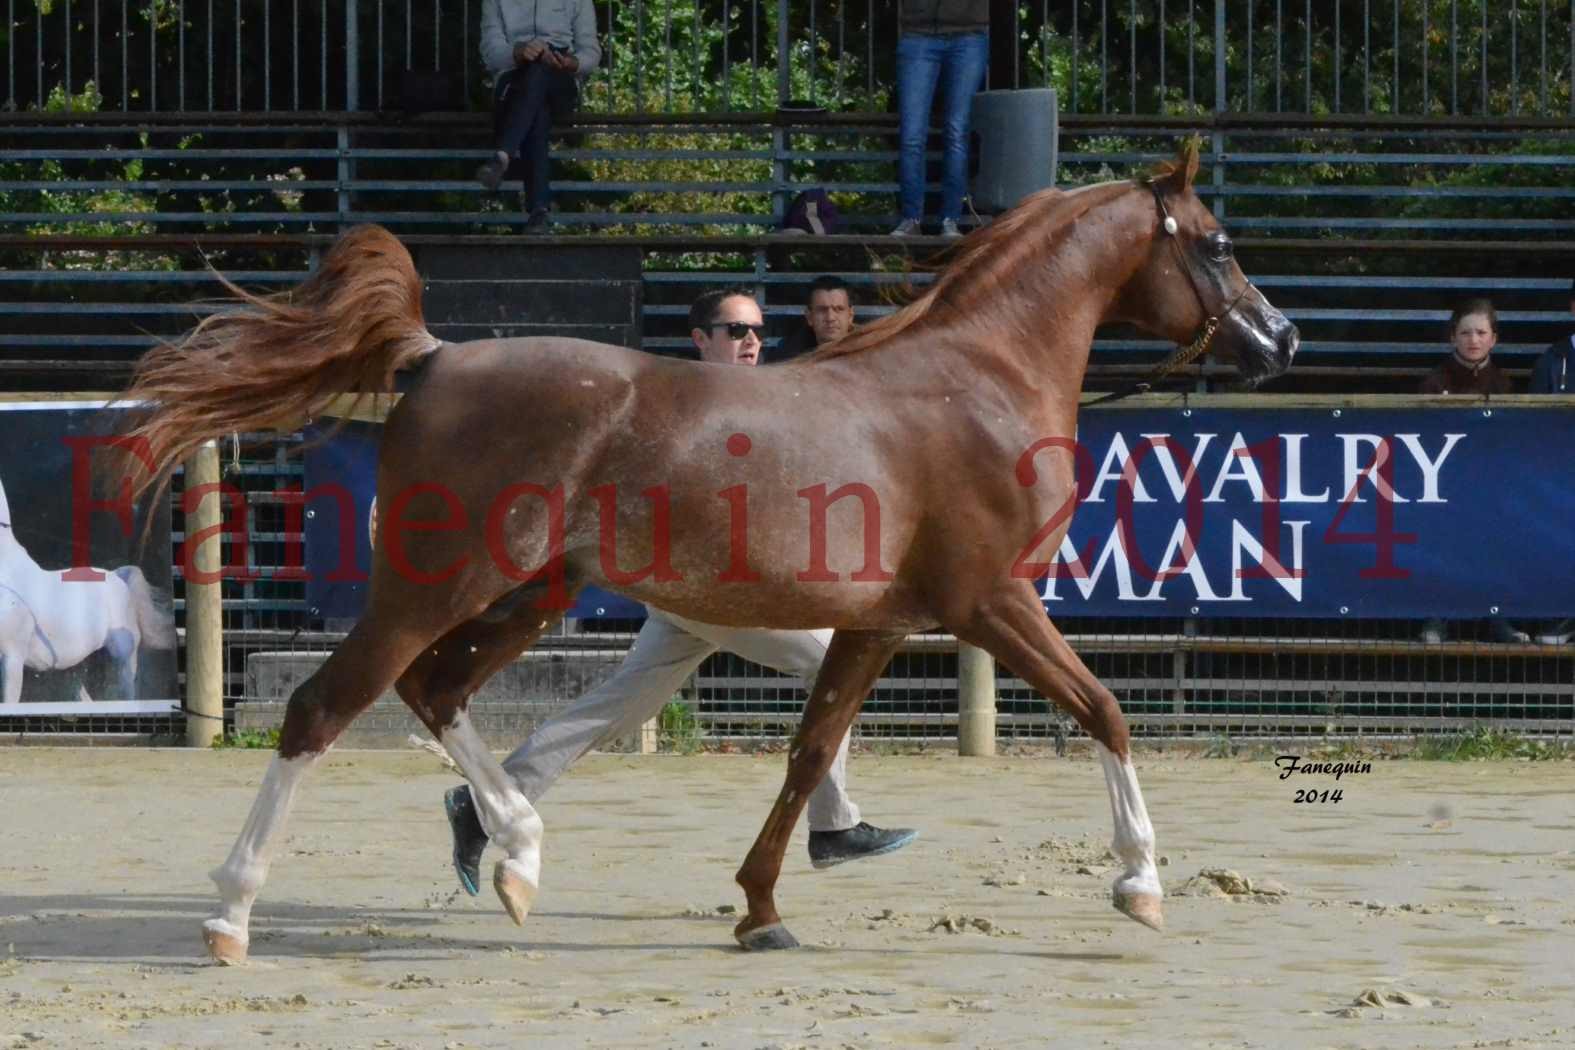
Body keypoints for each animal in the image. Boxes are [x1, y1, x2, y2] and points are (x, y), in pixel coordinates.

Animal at [119, 144, 1291, 963]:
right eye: (1217, 242)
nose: (1279, 340)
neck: (977, 381)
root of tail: (435, 359)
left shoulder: (876, 623)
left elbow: (811, 751)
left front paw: (763, 908)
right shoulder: (989, 603)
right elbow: (1105, 710)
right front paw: (1140, 885)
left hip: (526, 591)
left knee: (434, 691)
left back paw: (516, 857)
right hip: (437, 585)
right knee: (327, 708)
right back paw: (234, 916)